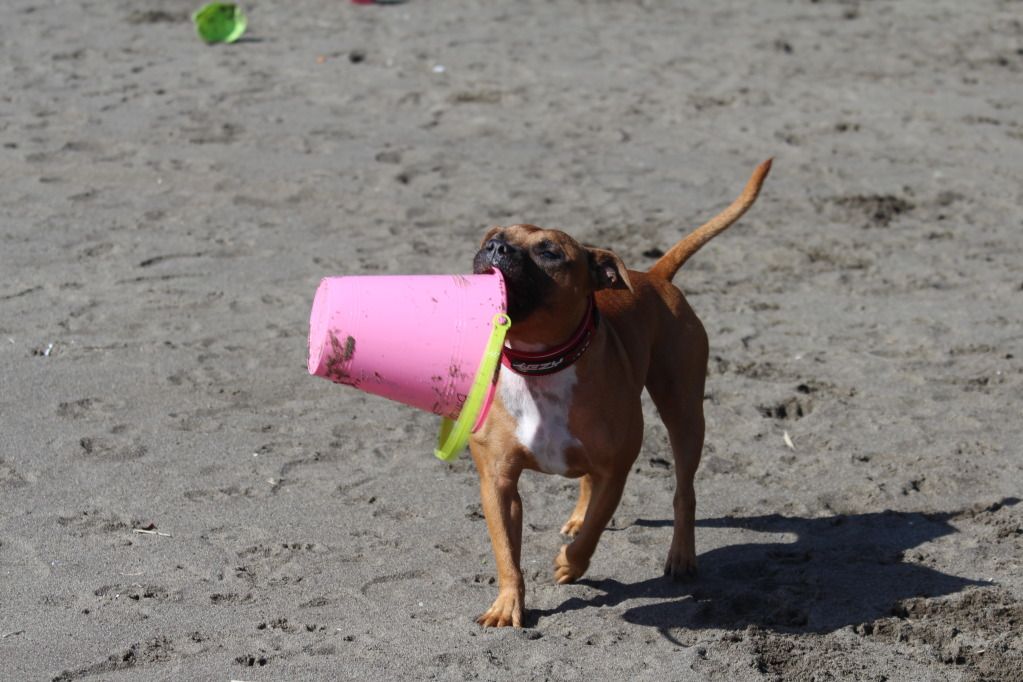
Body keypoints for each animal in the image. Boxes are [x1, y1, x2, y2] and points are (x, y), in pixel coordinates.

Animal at [468, 161, 769, 629]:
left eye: (549, 252)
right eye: (492, 237)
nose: (497, 247)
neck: (541, 363)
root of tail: (656, 276)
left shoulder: (617, 469)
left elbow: (595, 529)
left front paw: (569, 564)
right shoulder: (498, 481)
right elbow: (506, 551)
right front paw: (507, 604)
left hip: (684, 414)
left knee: (684, 490)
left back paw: (681, 555)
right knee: (587, 485)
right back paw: (576, 518)